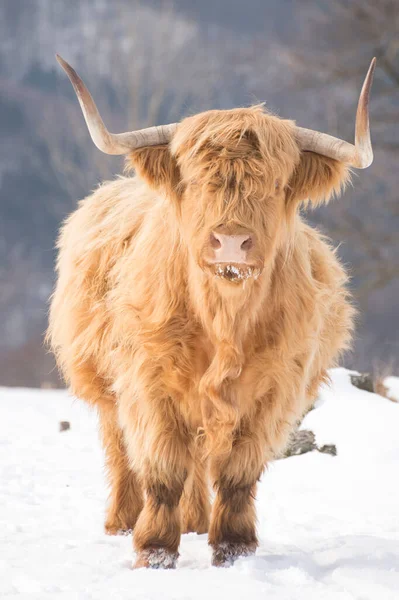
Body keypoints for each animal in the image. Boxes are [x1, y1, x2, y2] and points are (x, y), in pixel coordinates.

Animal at [48, 55, 376, 568]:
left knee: (200, 459)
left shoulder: (272, 391)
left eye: (275, 184)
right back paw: (122, 522)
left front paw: (234, 547)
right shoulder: (149, 381)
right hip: (105, 384)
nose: (231, 242)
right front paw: (155, 550)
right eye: (196, 180)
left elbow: (238, 473)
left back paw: (198, 522)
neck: (224, 320)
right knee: (122, 450)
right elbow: (162, 468)